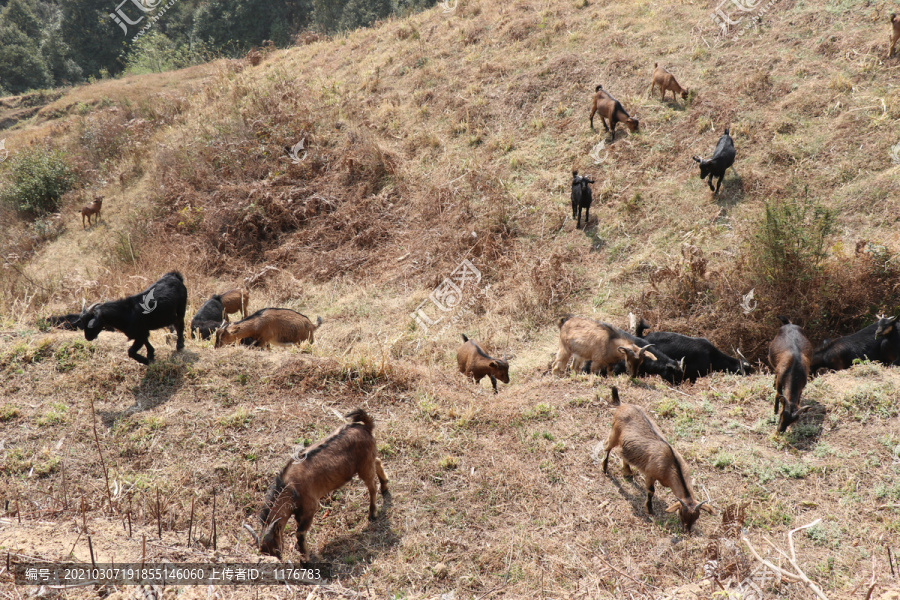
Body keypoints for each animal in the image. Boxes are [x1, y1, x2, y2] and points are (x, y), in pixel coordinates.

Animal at [244, 408, 388, 556]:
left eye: (276, 550)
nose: (279, 559)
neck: (290, 487)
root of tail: (366, 427)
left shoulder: (310, 506)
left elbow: (300, 533)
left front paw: (305, 558)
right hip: (368, 460)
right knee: (377, 462)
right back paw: (384, 486)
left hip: (364, 466)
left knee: (372, 486)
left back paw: (372, 513)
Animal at [604, 386, 716, 532]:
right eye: (681, 512)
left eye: (697, 516)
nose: (687, 530)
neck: (670, 465)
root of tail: (622, 405)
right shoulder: (650, 474)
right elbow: (651, 491)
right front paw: (649, 509)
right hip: (614, 433)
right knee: (607, 446)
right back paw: (605, 468)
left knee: (624, 454)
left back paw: (627, 473)